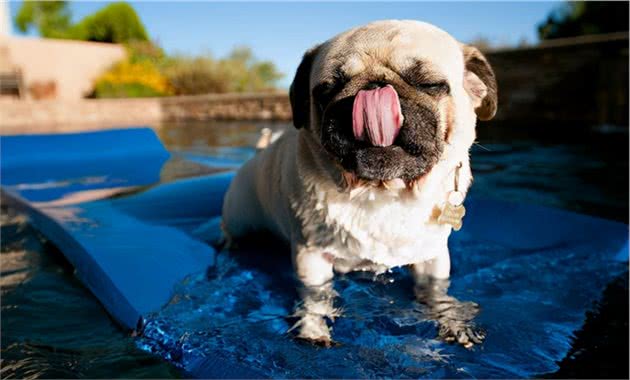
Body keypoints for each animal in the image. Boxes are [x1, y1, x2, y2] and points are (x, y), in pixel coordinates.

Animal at [222, 20, 498, 348]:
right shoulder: (310, 257)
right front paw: (313, 330)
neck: (381, 191)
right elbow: (316, 298)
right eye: (327, 89)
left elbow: (436, 291)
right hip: (239, 217)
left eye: (429, 84)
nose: (375, 88)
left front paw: (453, 319)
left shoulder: (433, 257)